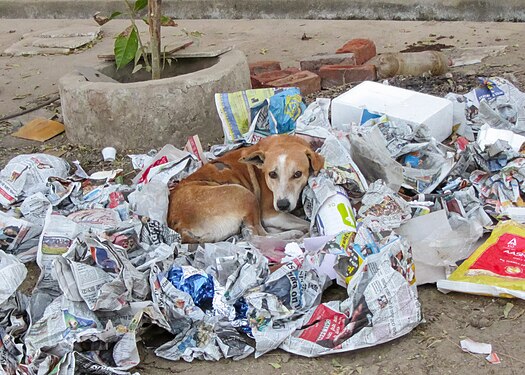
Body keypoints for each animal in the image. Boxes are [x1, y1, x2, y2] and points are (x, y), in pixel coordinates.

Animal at [168, 135, 324, 244]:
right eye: (272, 174)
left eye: (297, 174)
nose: (282, 205)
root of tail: (178, 224)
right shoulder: (270, 214)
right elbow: (307, 224)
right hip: (245, 194)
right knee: (256, 236)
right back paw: (293, 235)